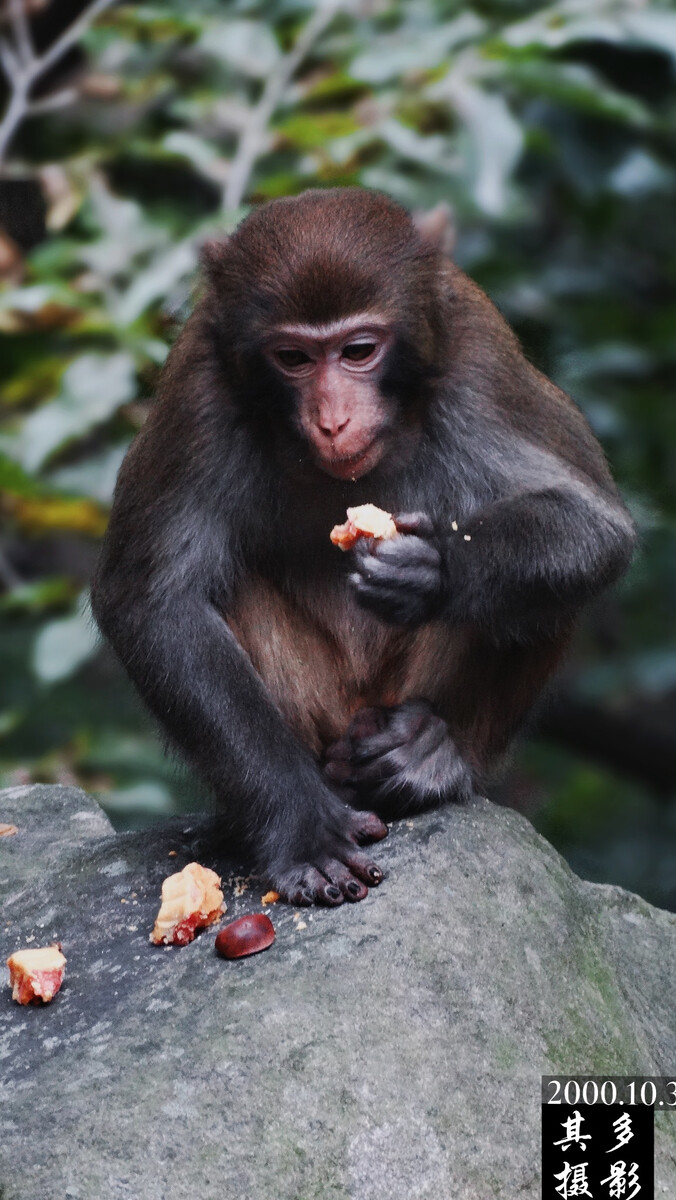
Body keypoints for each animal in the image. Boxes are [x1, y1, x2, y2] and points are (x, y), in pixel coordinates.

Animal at [92, 187, 638, 902]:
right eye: (294, 358)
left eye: (357, 351)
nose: (333, 420)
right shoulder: (199, 390)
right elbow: (154, 601)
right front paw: (301, 826)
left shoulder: (477, 361)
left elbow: (592, 526)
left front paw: (433, 574)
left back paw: (431, 756)